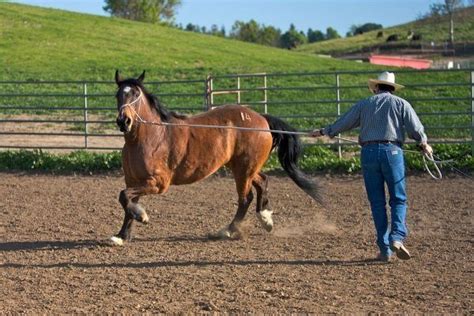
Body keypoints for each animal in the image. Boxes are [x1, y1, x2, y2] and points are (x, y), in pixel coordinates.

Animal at [109, 70, 322, 246]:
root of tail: (262, 119)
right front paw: (121, 236)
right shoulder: (133, 180)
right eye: (118, 95)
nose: (123, 121)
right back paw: (265, 219)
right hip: (244, 167)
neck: (151, 136)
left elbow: (125, 197)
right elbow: (126, 201)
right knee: (262, 181)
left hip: (243, 170)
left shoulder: (158, 183)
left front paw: (142, 216)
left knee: (246, 198)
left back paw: (229, 230)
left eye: (135, 94)